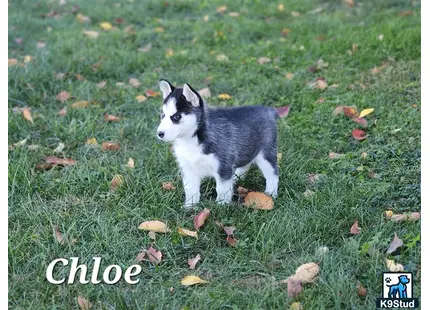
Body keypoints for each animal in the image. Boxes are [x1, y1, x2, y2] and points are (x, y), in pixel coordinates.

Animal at [156, 79, 280, 208]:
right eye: (163, 115)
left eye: (176, 116)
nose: (159, 133)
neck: (191, 140)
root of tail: (267, 110)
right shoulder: (188, 168)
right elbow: (190, 189)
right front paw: (189, 206)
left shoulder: (223, 165)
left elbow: (221, 188)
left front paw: (222, 205)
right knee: (245, 164)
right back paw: (235, 178)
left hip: (266, 154)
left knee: (273, 173)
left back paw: (271, 193)